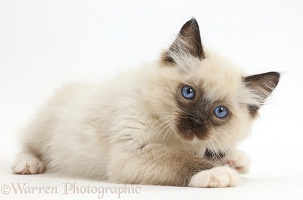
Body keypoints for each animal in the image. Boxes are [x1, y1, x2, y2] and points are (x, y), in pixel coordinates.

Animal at [13, 18, 282, 188]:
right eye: (188, 93)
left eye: (220, 112)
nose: (195, 123)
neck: (177, 140)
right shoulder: (131, 152)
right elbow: (180, 159)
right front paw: (217, 172)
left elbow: (211, 152)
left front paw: (233, 160)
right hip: (44, 126)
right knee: (29, 144)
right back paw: (28, 164)